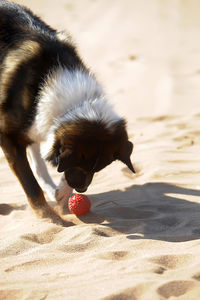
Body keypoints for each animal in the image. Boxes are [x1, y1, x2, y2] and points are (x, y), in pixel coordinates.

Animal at [0, 0, 135, 225]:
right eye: (82, 165)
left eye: (97, 169)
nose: (82, 190)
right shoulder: (9, 137)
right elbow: (31, 185)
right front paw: (48, 217)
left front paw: (61, 193)